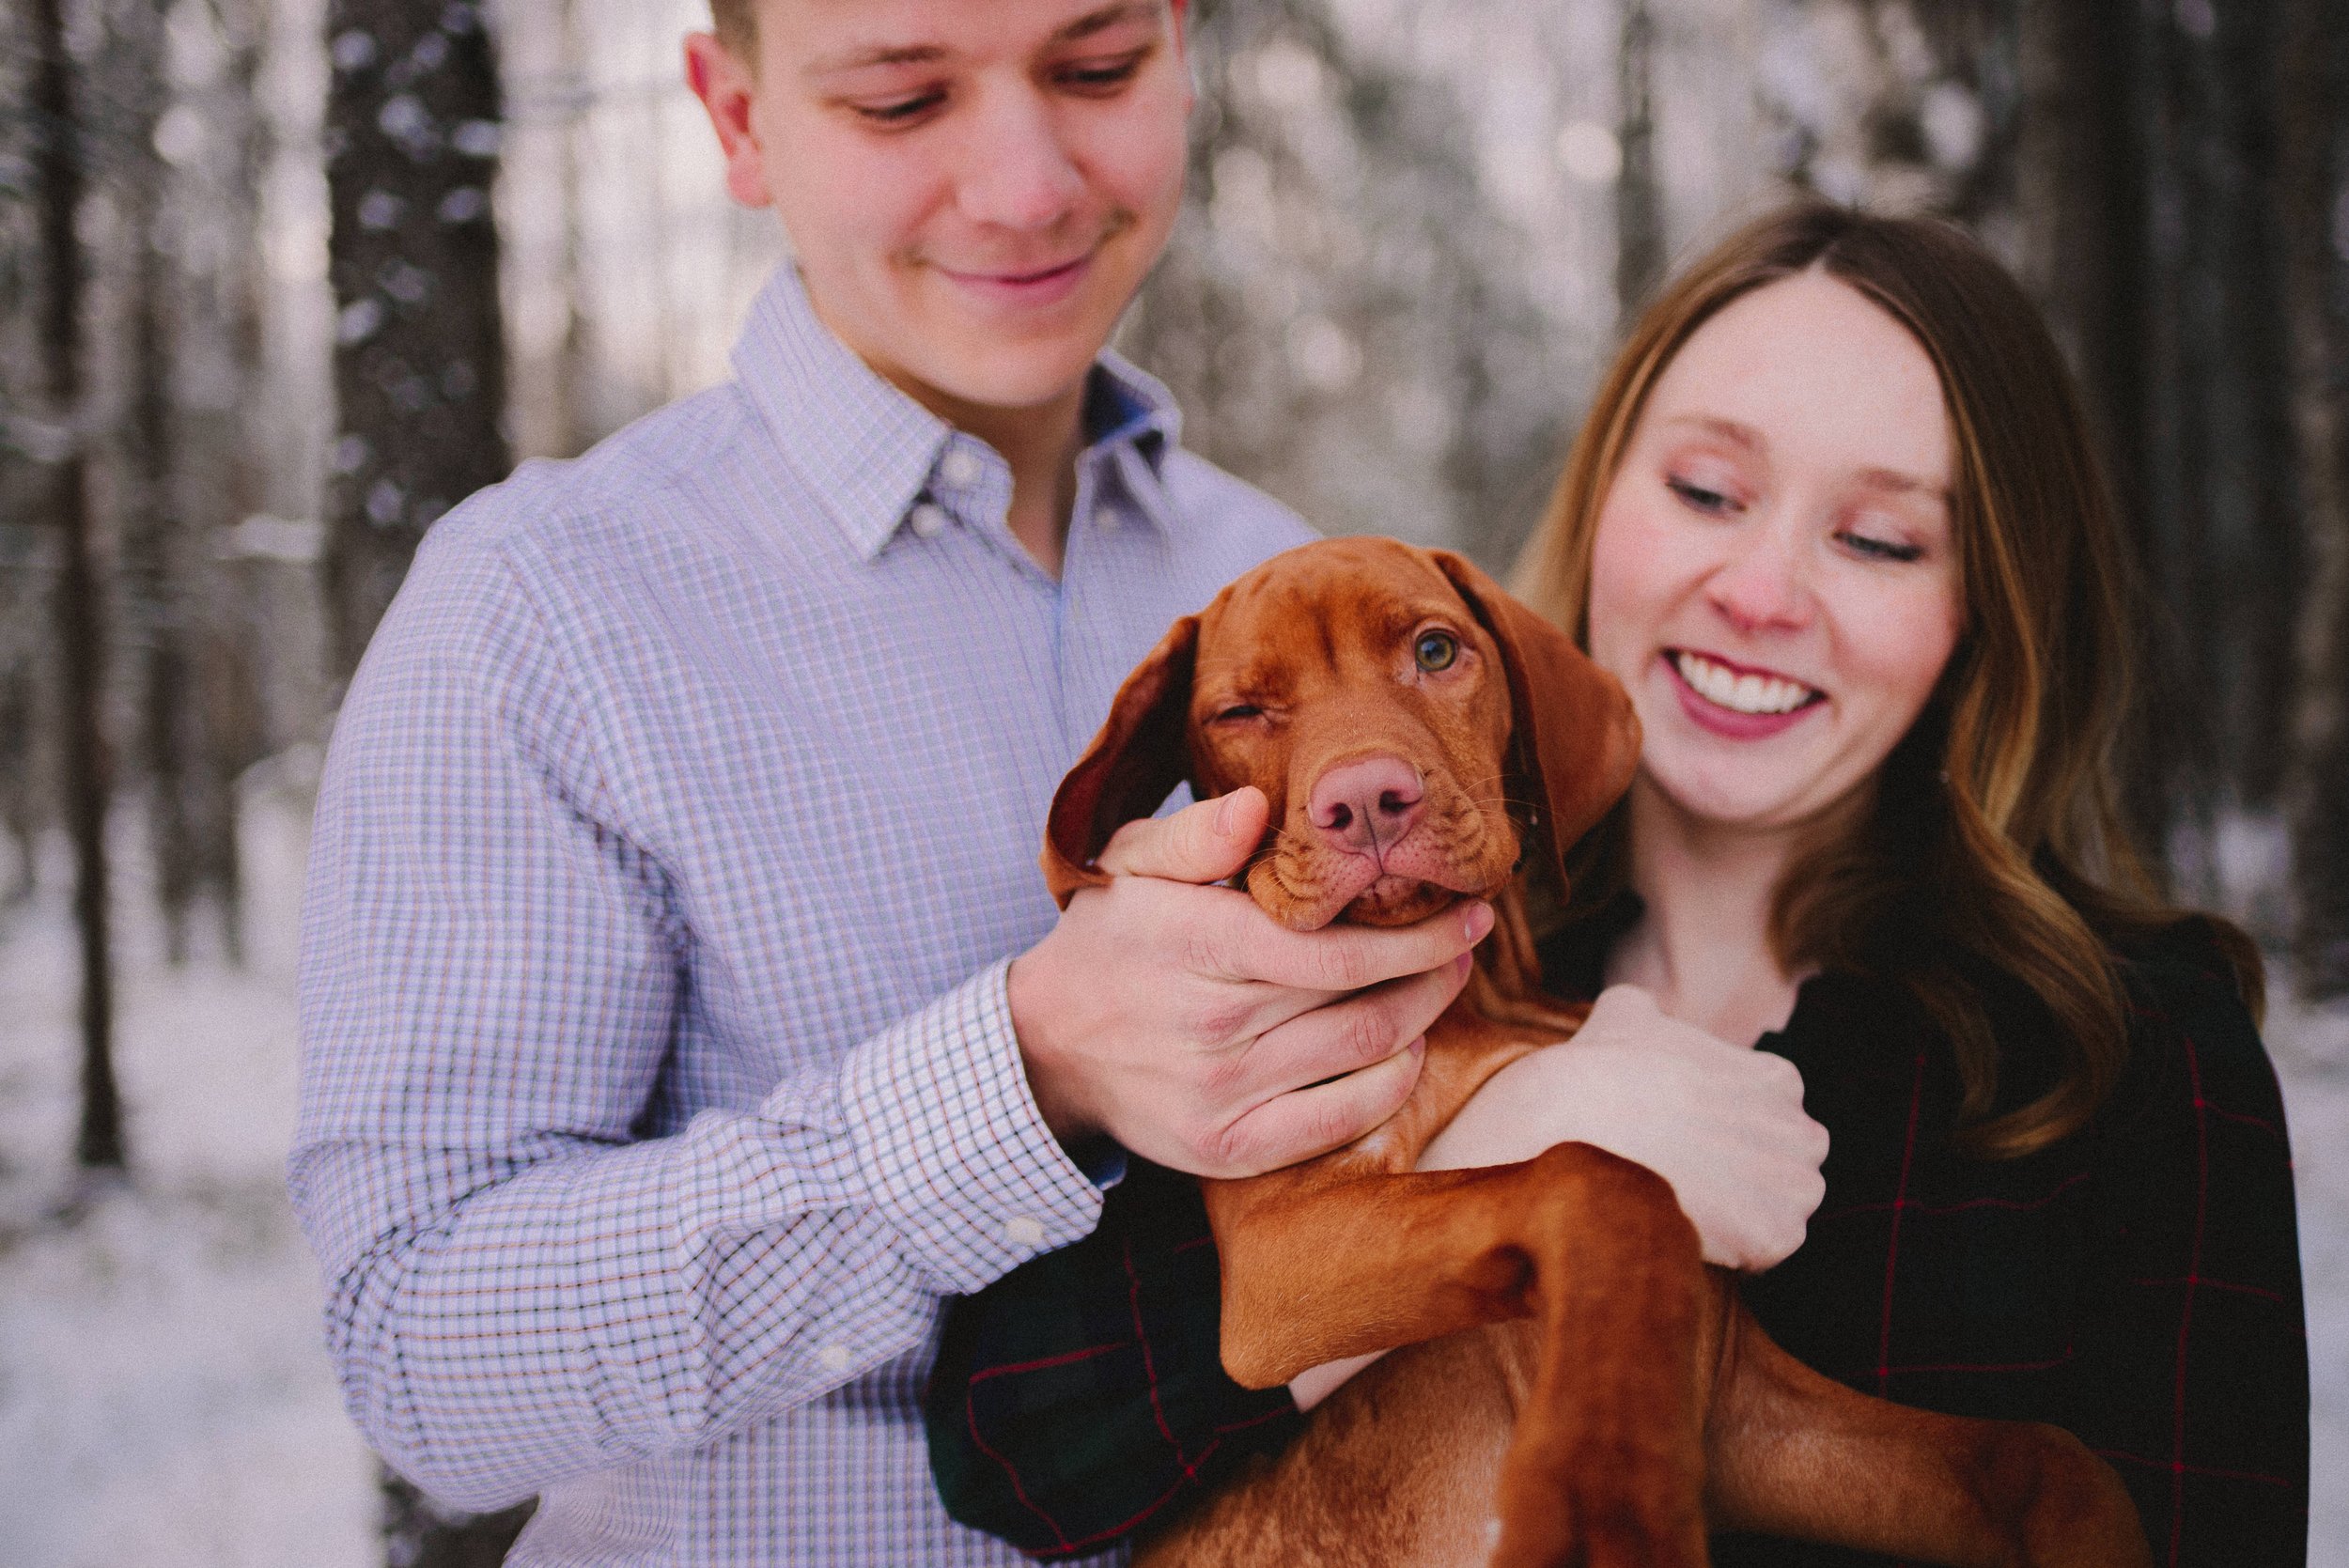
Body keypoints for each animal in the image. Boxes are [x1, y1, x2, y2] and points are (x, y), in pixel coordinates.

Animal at [1048, 539, 2152, 1568]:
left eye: (1435, 650)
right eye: (1240, 712)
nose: (1365, 801)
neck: (1490, 1003)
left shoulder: (1742, 1409)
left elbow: (2050, 1459)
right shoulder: (1279, 1253)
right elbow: (1595, 1177)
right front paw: (1600, 1488)